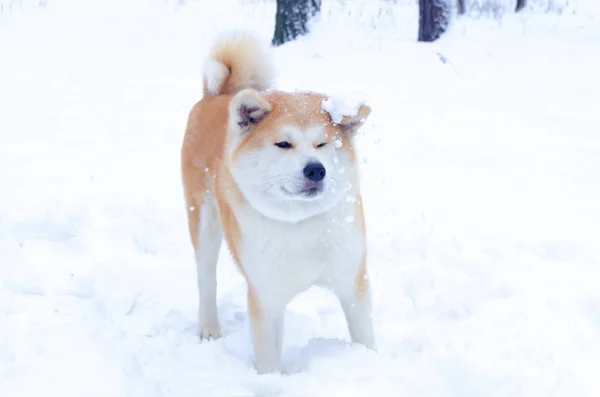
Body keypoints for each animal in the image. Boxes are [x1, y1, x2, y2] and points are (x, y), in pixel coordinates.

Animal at [180, 31, 372, 372]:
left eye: (322, 144)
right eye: (283, 144)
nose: (316, 169)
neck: (300, 224)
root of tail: (216, 95)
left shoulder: (353, 283)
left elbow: (365, 338)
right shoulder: (265, 298)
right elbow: (269, 362)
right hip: (203, 224)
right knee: (206, 279)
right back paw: (209, 327)